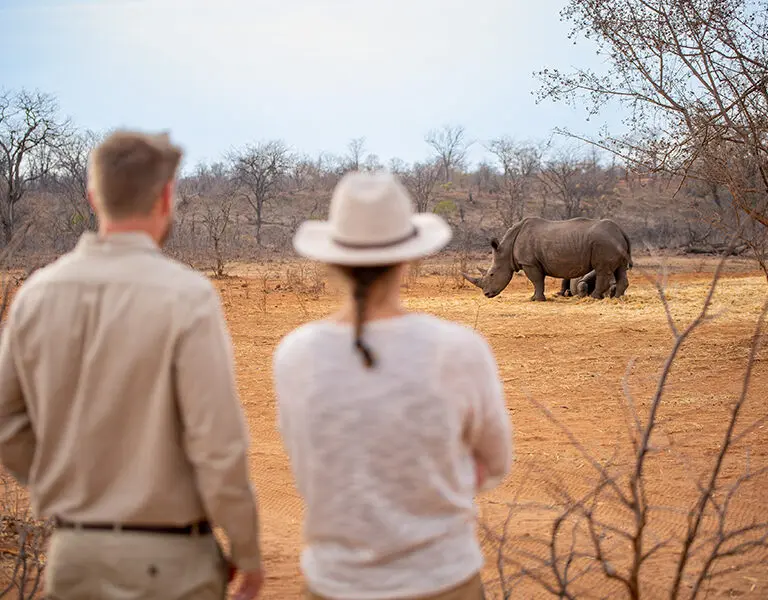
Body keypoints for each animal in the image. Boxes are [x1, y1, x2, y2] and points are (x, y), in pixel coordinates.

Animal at [463, 217, 632, 301]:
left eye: (492, 274)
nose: (486, 294)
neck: (506, 250)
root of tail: (621, 231)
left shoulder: (529, 263)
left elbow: (536, 281)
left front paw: (536, 299)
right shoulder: (533, 263)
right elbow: (538, 282)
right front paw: (534, 298)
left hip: (604, 242)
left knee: (602, 269)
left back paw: (594, 298)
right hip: (612, 241)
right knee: (620, 270)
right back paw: (616, 299)